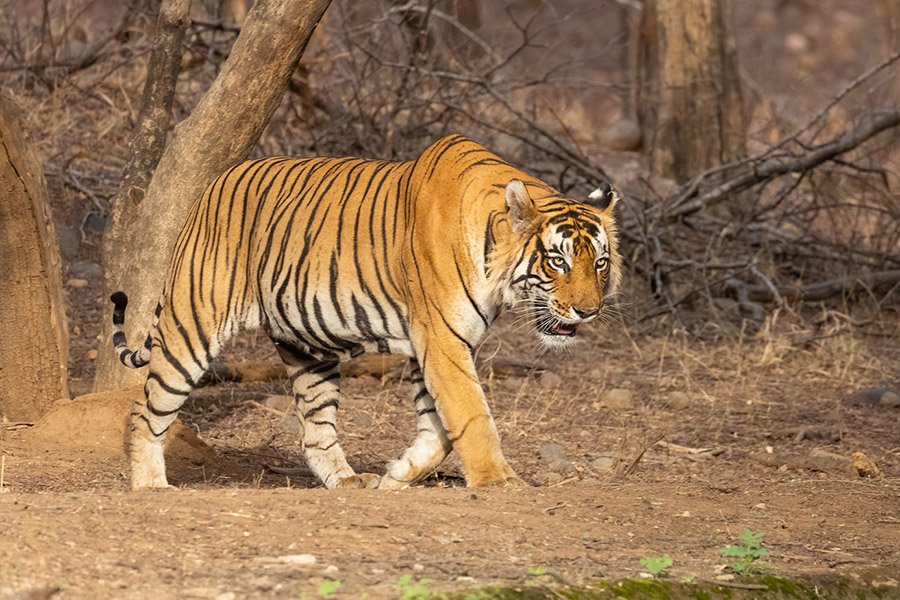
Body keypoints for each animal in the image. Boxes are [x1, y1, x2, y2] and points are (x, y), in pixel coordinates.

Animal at [109, 134, 621, 490]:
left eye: (599, 262)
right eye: (557, 262)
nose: (588, 310)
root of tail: (210, 187)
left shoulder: (432, 346)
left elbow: (439, 429)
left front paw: (398, 474)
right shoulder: (442, 340)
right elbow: (472, 415)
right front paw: (500, 482)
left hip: (307, 348)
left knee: (315, 431)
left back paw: (348, 481)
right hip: (193, 324)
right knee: (144, 410)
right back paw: (151, 486)